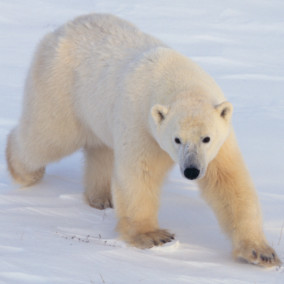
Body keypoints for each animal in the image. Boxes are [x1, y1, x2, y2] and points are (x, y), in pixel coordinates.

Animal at [5, 13, 280, 266]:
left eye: (206, 138)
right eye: (177, 139)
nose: (191, 171)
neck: (176, 78)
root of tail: (61, 29)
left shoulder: (220, 143)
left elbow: (228, 183)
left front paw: (261, 253)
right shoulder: (140, 122)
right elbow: (139, 173)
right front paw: (153, 236)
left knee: (99, 149)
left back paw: (101, 197)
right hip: (60, 87)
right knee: (48, 136)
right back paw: (23, 171)